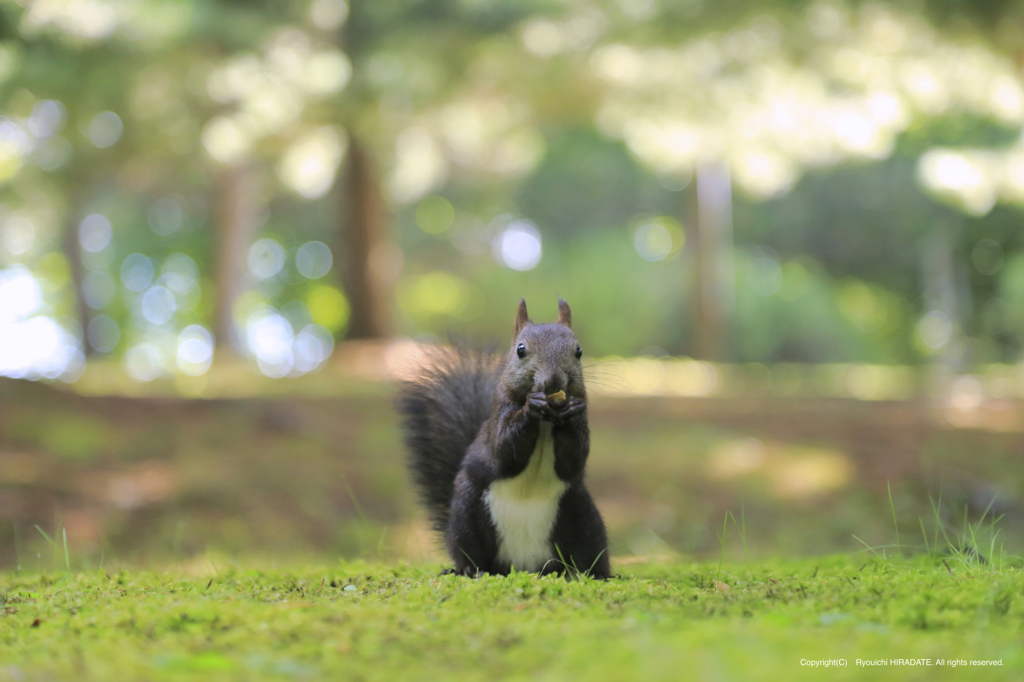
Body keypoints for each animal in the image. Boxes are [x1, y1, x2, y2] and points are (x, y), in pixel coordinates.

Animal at [397, 299, 606, 577]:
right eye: (520, 350)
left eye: (579, 350)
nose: (553, 381)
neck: (547, 421)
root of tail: (524, 564)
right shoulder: (499, 420)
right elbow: (506, 450)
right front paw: (530, 408)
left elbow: (573, 459)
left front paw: (570, 411)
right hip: (467, 513)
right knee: (470, 552)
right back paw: (466, 570)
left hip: (582, 514)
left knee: (588, 553)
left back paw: (599, 573)